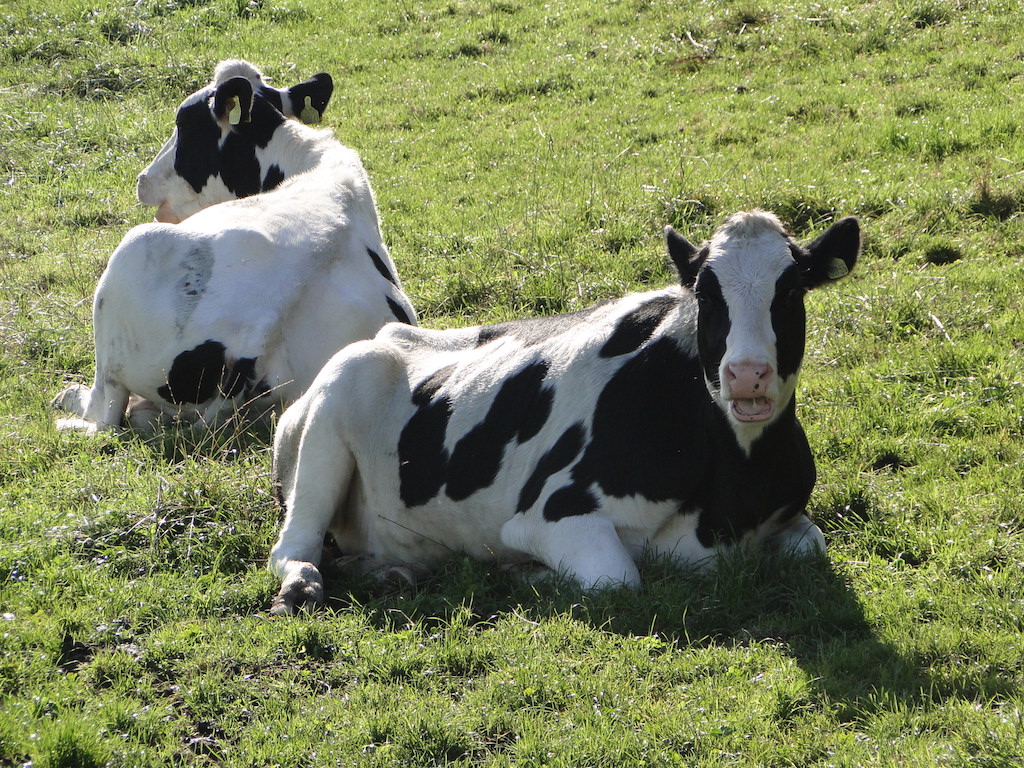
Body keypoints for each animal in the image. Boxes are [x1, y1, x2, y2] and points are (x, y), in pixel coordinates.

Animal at [54, 60, 417, 433]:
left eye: (184, 125)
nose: (143, 179)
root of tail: (258, 335)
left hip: (130, 257)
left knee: (105, 413)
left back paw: (71, 400)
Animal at [267, 210, 859, 614]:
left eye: (792, 291)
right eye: (707, 296)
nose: (746, 374)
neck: (730, 496)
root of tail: (388, 335)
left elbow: (811, 547)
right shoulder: (551, 514)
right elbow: (616, 578)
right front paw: (524, 574)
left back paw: (390, 573)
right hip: (329, 420)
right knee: (294, 546)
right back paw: (304, 585)